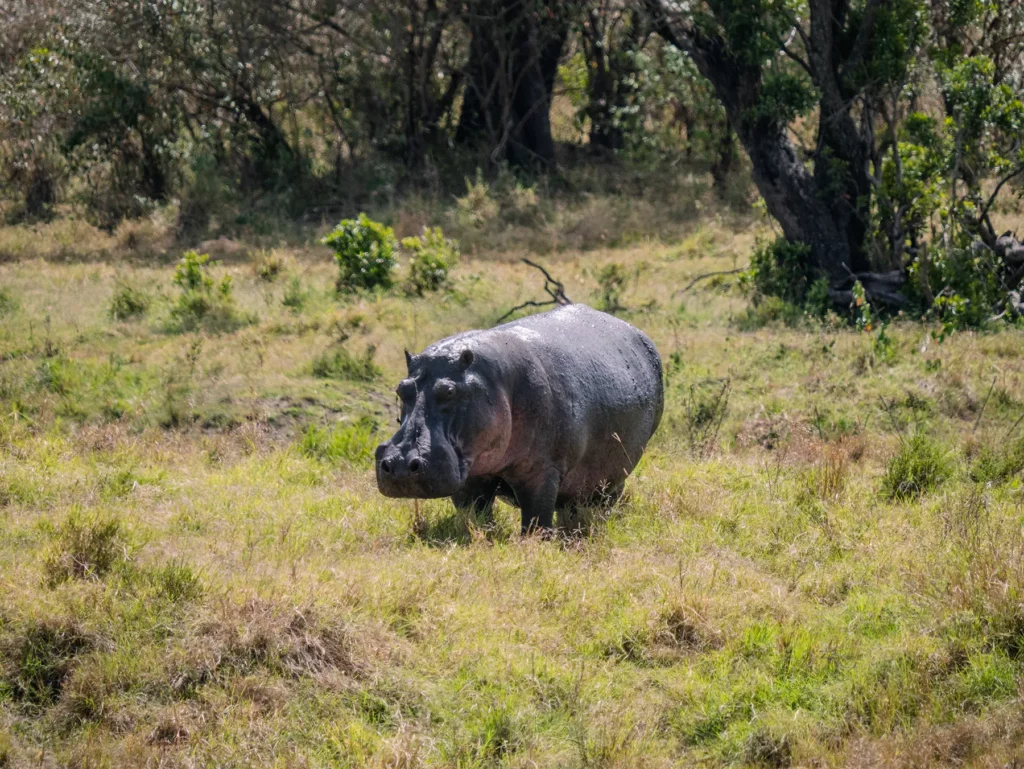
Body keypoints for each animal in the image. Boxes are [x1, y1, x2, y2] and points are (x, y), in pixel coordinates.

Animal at [375, 304, 663, 533]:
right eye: (401, 389)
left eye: (449, 391)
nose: (400, 464)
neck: (495, 381)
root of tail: (638, 333)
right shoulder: (468, 477)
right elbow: (474, 517)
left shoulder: (542, 472)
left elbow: (536, 520)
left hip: (616, 474)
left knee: (605, 500)